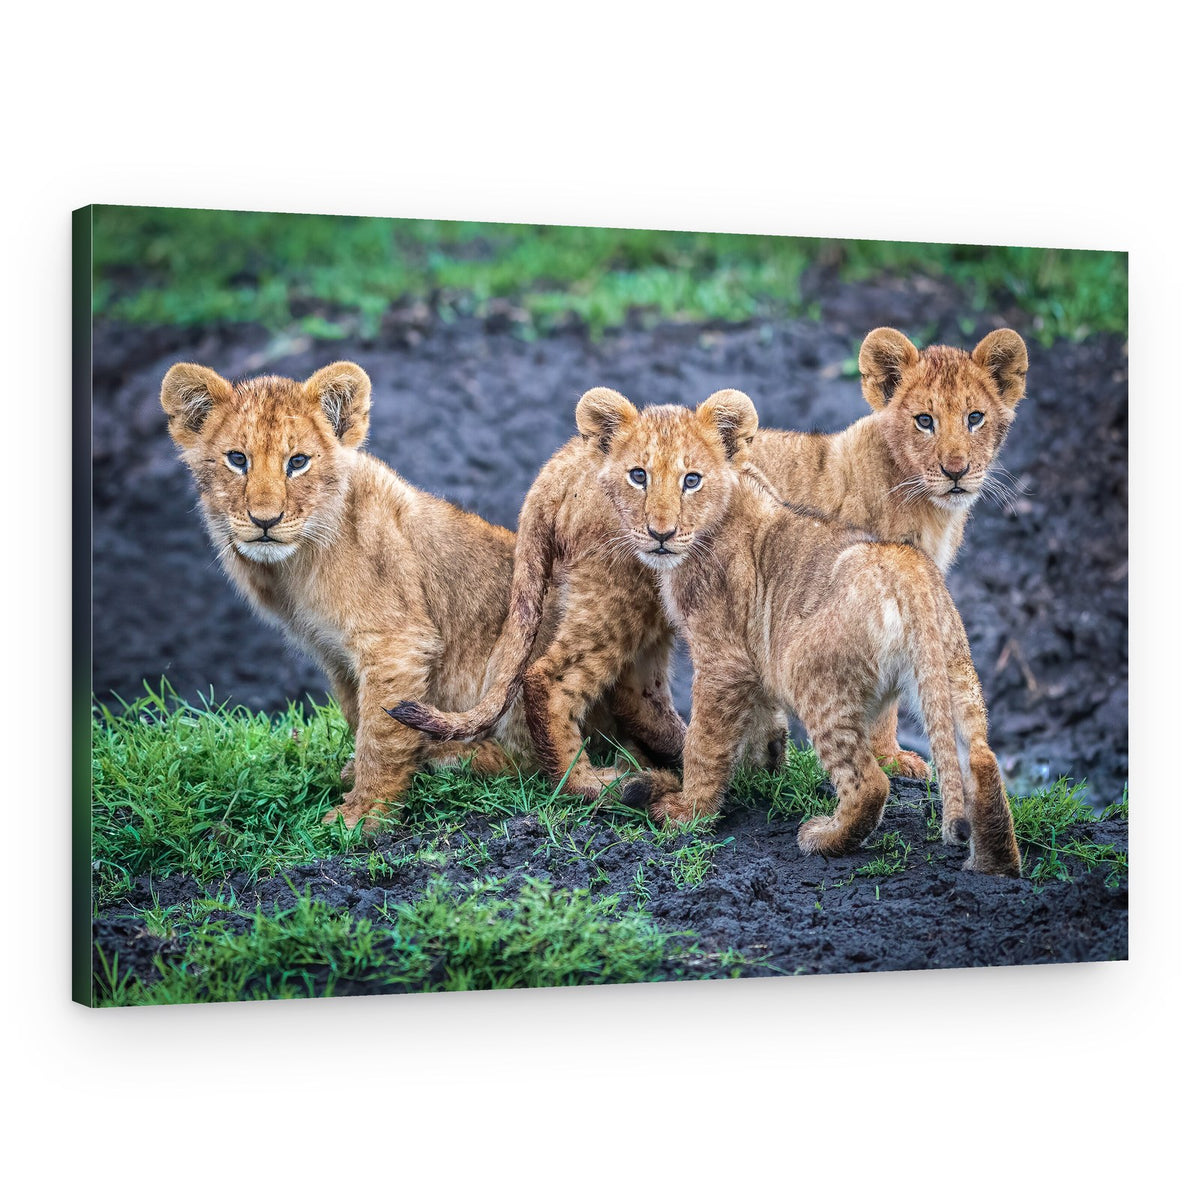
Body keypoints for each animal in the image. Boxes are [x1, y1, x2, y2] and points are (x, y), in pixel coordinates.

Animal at [160, 361, 658, 830]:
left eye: (297, 462)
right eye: (237, 459)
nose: (265, 520)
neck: (292, 567)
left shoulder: (396, 642)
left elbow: (380, 735)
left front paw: (363, 816)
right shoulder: (335, 654)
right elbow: (357, 715)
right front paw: (357, 781)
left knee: (534, 760)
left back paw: (448, 757)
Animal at [596, 388, 1021, 876]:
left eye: (691, 480)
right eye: (638, 476)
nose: (659, 533)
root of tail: (907, 569)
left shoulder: (724, 658)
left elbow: (704, 742)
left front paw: (687, 813)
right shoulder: (756, 658)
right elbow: (756, 724)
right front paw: (761, 771)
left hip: (809, 671)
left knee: (869, 783)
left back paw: (823, 838)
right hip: (955, 672)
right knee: (983, 761)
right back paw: (993, 870)